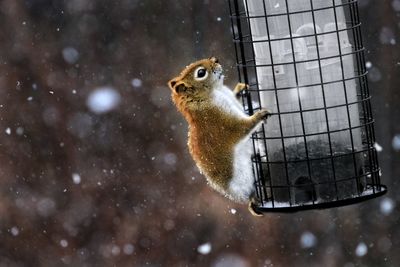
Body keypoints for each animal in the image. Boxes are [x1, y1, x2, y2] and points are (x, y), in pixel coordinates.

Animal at [167, 57, 270, 217]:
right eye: (201, 73)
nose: (215, 59)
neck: (216, 91)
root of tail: (244, 197)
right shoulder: (220, 122)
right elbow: (240, 128)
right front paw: (258, 116)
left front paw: (240, 89)